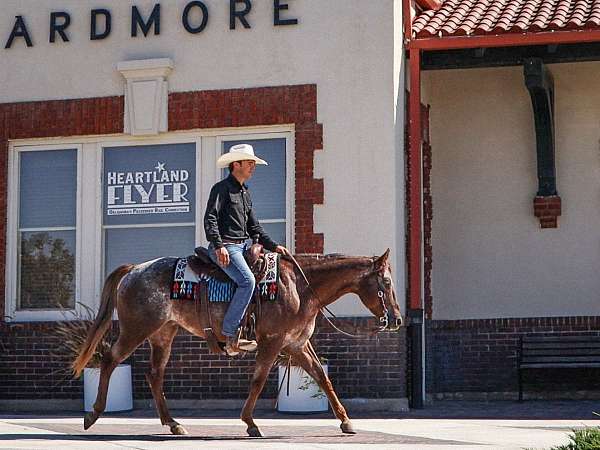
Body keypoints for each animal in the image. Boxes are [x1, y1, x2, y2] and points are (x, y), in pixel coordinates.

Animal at [74, 250, 404, 436]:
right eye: (386, 283)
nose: (398, 319)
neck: (300, 287)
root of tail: (134, 270)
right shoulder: (274, 342)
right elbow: (259, 380)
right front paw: (250, 422)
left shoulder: (297, 344)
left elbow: (323, 378)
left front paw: (346, 421)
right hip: (136, 329)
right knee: (110, 360)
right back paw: (93, 414)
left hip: (163, 334)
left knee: (155, 375)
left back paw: (173, 423)